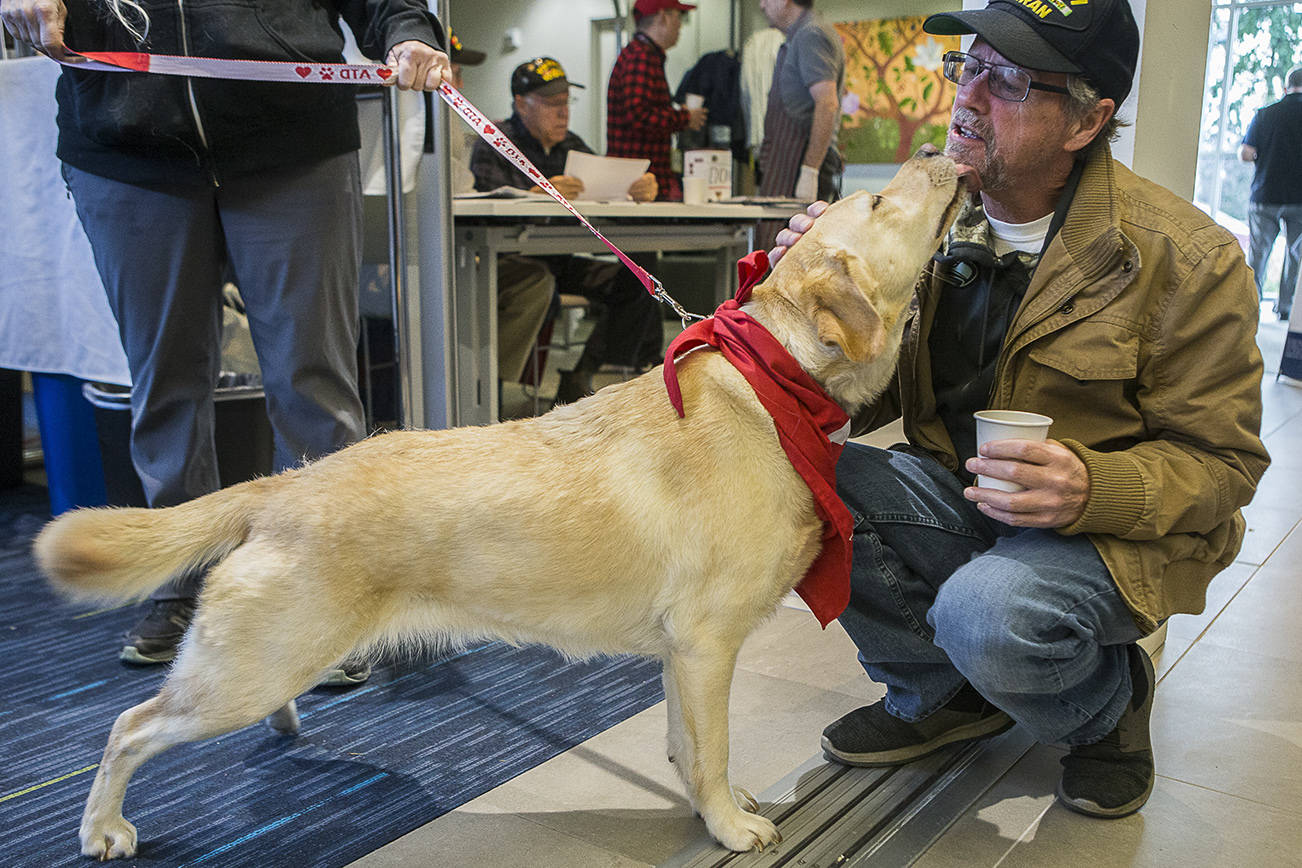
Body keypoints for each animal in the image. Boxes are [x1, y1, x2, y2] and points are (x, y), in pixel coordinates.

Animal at [33, 149, 968, 864]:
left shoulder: (682, 654)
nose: (940, 152)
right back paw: (104, 828)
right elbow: (709, 749)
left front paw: (717, 803)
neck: (773, 386)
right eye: (878, 200)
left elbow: (685, 745)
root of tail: (285, 481)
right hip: (240, 675)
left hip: (261, 665)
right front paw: (731, 825)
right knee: (126, 728)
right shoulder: (708, 644)